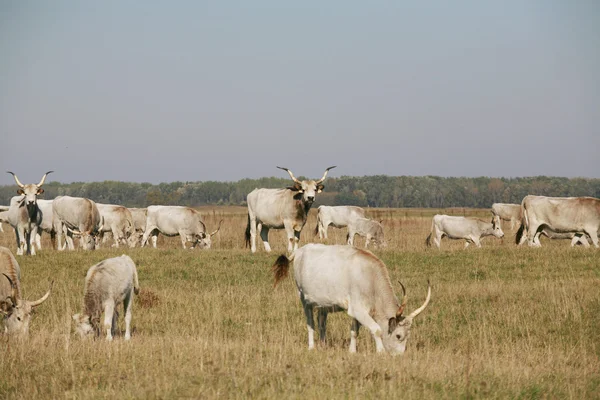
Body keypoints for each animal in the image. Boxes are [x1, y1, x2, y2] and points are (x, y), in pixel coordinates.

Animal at [272, 244, 432, 354]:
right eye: (398, 336)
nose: (399, 356)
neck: (371, 277)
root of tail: (299, 250)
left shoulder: (358, 311)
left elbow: (354, 331)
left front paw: (352, 351)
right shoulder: (358, 310)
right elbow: (377, 330)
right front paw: (380, 352)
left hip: (323, 304)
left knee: (322, 323)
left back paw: (324, 344)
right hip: (305, 300)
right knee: (310, 323)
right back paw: (312, 346)